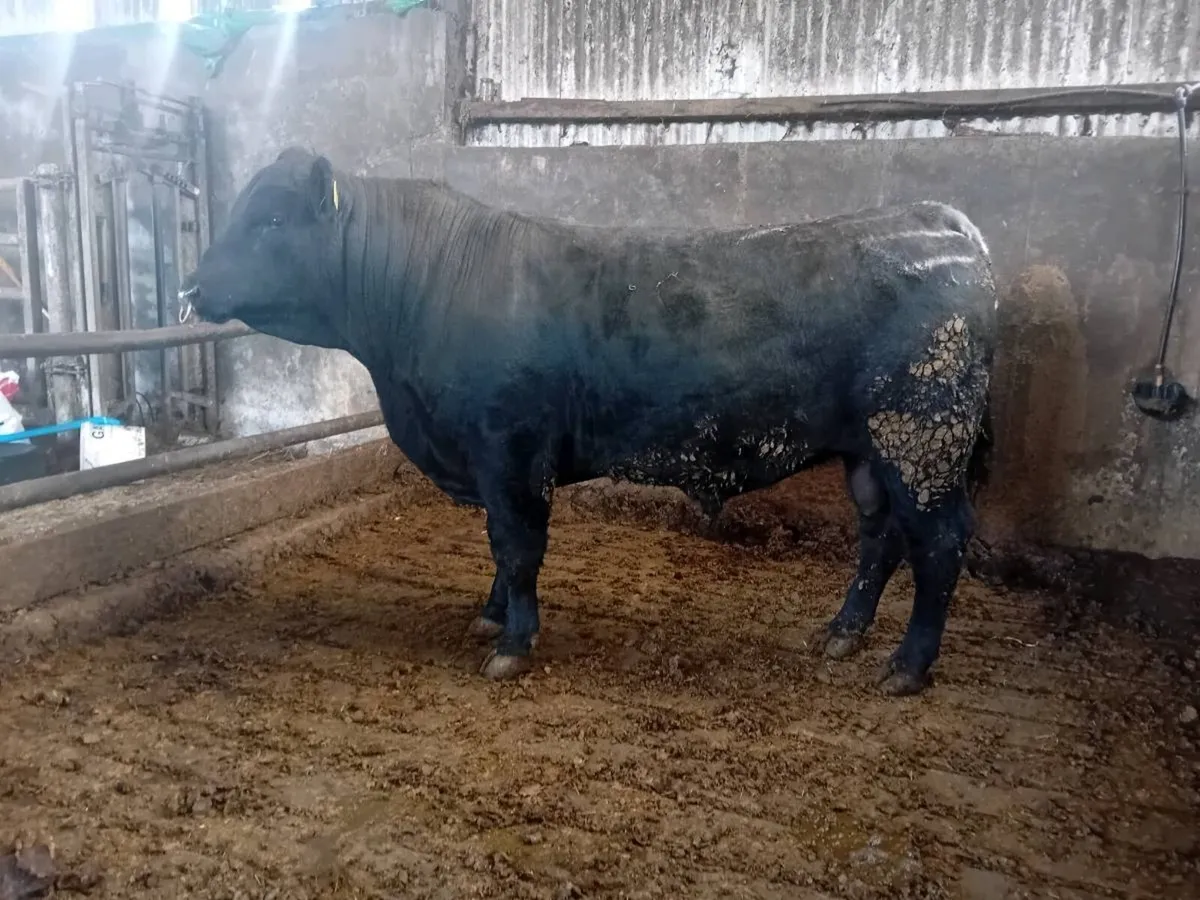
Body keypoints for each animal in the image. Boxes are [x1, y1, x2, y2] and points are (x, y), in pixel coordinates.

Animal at [180, 147, 997, 696]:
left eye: (271, 218)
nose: (191, 286)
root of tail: (938, 222)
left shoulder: (509, 452)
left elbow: (516, 547)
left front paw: (512, 642)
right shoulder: (491, 460)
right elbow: (498, 547)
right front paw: (491, 616)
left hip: (922, 440)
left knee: (940, 544)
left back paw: (907, 666)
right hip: (872, 451)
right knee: (880, 539)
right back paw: (841, 634)